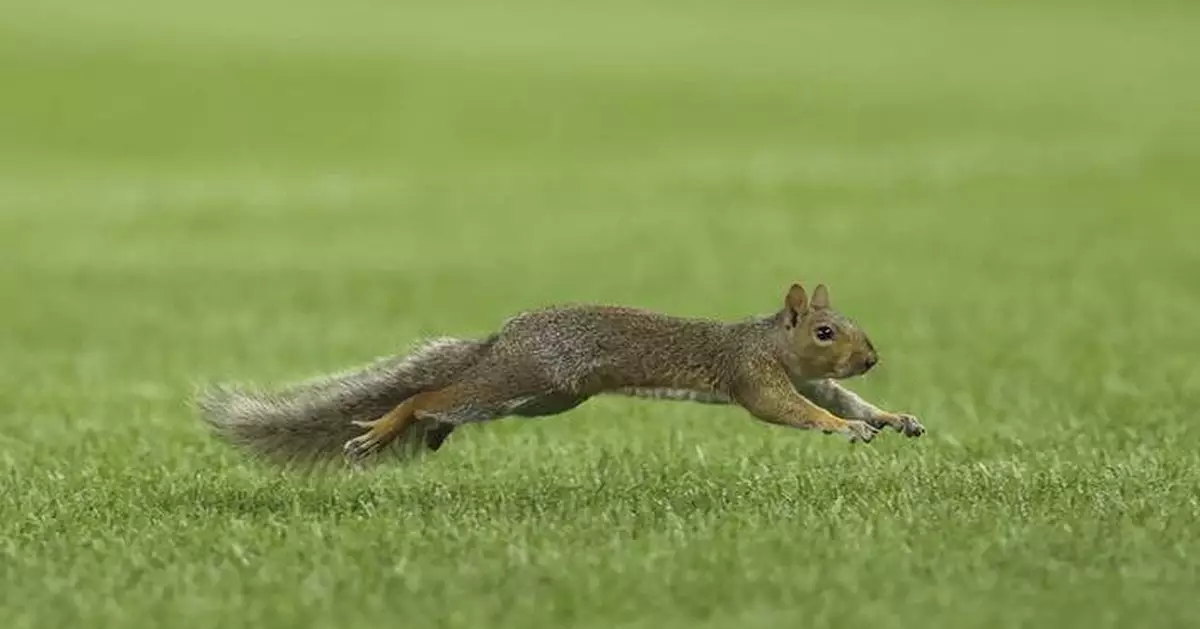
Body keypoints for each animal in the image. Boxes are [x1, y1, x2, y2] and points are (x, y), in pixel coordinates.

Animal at [198, 282, 924, 466]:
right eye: (824, 331)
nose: (872, 358)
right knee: (431, 393)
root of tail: (504, 337)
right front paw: (843, 430)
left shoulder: (812, 378)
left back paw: (429, 433)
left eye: (852, 325)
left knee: (444, 405)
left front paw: (892, 416)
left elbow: (846, 399)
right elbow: (793, 410)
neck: (771, 340)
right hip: (519, 379)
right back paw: (388, 426)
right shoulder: (753, 374)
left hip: (542, 399)